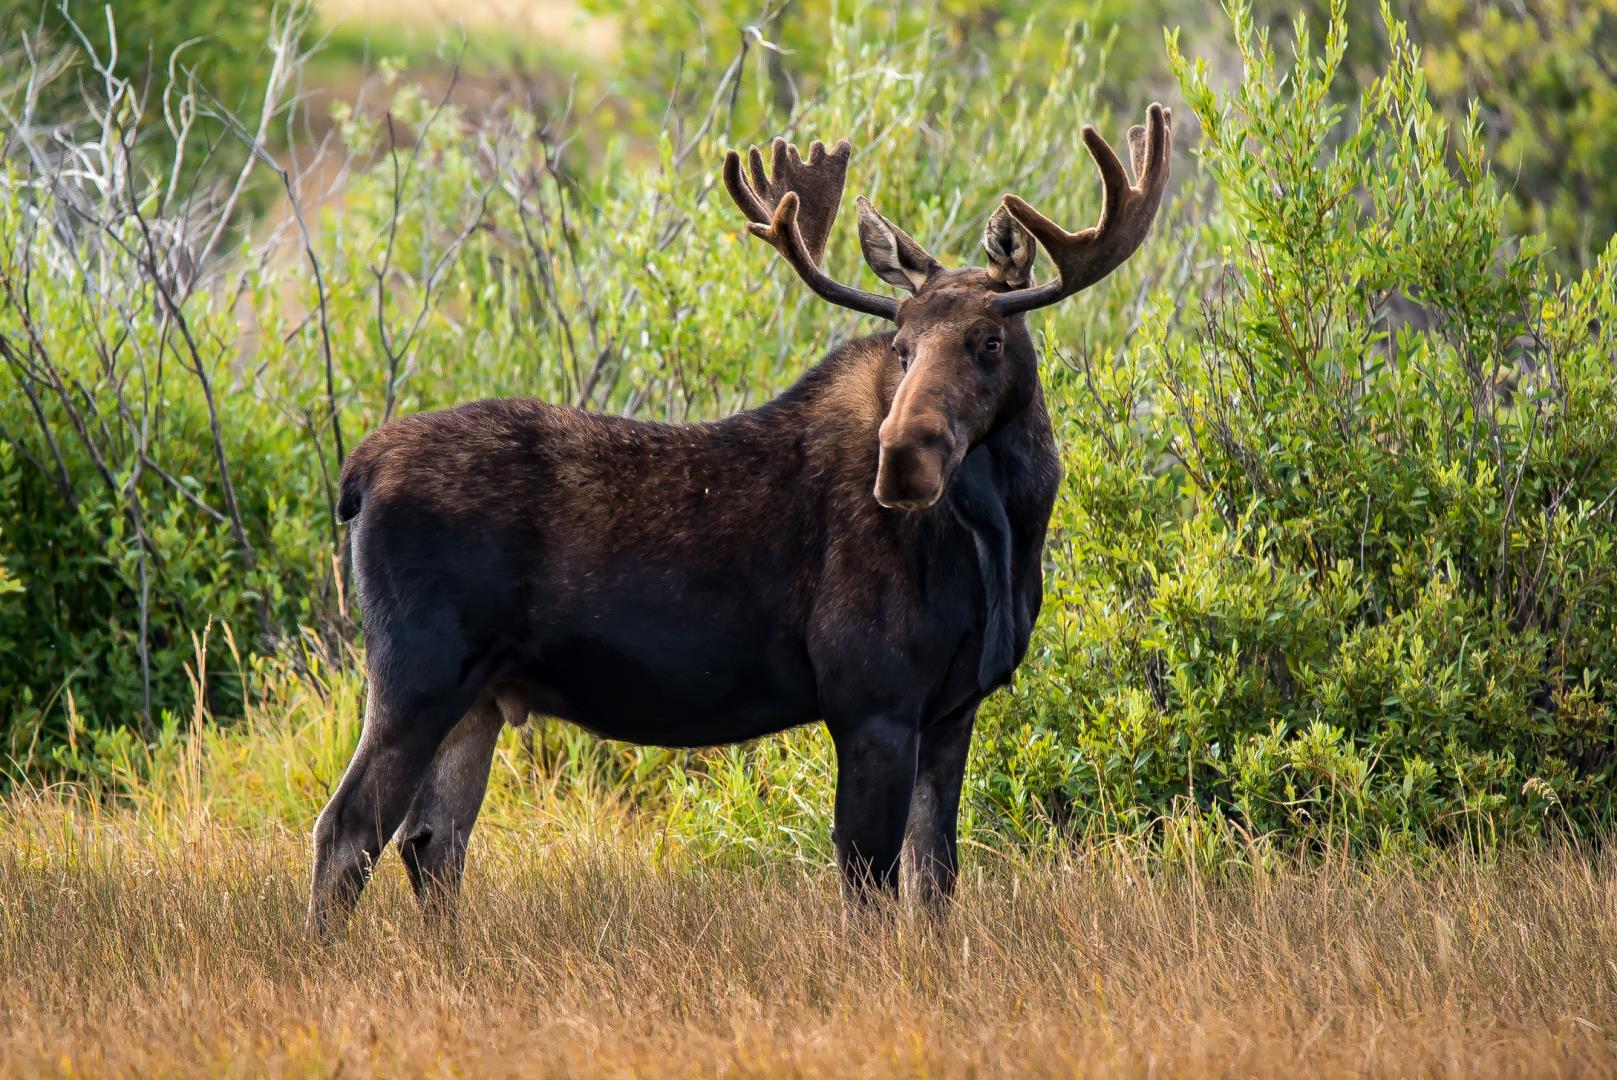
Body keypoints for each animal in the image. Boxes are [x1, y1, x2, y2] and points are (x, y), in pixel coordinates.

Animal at [308, 105, 1177, 931]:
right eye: (900, 344)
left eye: (989, 339)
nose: (902, 460)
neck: (1003, 536)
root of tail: (356, 475)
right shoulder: (870, 702)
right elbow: (868, 887)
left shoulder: (952, 709)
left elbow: (935, 883)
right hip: (417, 674)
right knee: (349, 829)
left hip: (480, 696)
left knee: (431, 840)